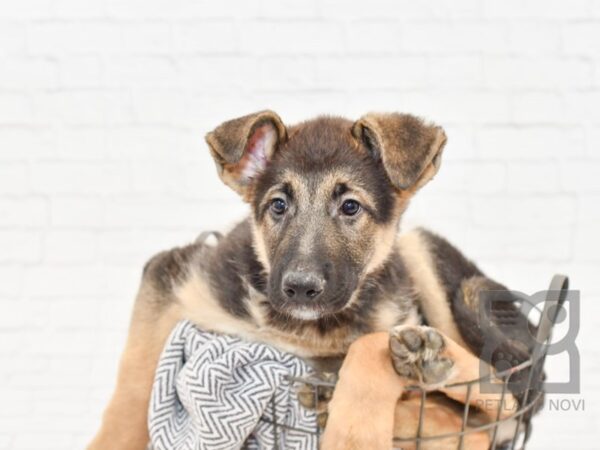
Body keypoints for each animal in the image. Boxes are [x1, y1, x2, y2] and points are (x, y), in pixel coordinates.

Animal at [88, 110, 540, 450]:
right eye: (278, 205)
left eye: (351, 207)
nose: (301, 288)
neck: (302, 330)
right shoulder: (173, 275)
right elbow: (134, 382)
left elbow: (365, 353)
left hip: (424, 254)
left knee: (502, 402)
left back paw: (424, 361)